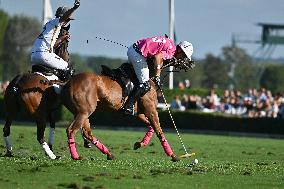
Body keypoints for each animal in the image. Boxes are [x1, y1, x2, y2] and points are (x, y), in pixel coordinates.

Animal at [2, 27, 72, 159]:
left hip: (11, 110)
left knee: (6, 129)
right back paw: (52, 156)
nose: (68, 57)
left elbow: (53, 125)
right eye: (68, 39)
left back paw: (9, 151)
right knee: (39, 136)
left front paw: (51, 145)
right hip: (39, 115)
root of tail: (17, 84)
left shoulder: (50, 110)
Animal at [60, 57, 194, 161]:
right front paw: (173, 155)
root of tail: (67, 84)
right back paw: (76, 156)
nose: (192, 62)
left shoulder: (138, 112)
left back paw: (109, 154)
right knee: (71, 130)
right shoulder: (150, 109)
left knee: (87, 133)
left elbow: (150, 126)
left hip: (82, 113)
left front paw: (139, 144)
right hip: (84, 112)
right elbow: (159, 130)